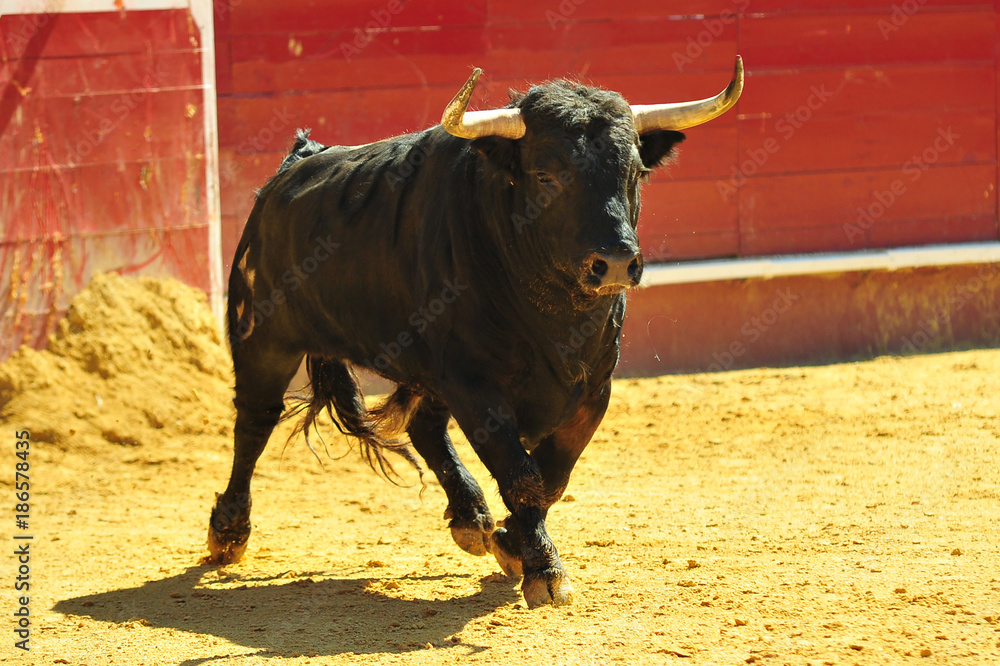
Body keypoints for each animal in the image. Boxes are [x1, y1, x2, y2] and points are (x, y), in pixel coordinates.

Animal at [206, 58, 744, 608]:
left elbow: (552, 476)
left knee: (424, 427)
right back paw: (228, 532)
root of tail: (294, 165)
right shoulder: (473, 383)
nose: (614, 261)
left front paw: (511, 540)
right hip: (265, 339)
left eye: (634, 173)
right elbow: (522, 475)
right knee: (255, 421)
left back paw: (471, 517)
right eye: (545, 175)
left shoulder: (594, 388)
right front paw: (544, 569)